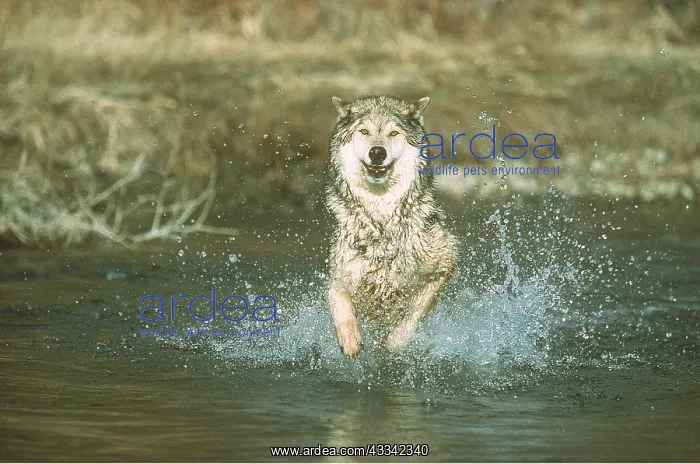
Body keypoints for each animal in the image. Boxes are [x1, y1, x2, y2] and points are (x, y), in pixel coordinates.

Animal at [326, 95, 458, 359]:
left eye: (393, 133)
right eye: (364, 131)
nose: (377, 152)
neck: (381, 218)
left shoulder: (445, 262)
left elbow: (413, 316)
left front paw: (396, 343)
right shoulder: (343, 273)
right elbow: (336, 296)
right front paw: (350, 340)